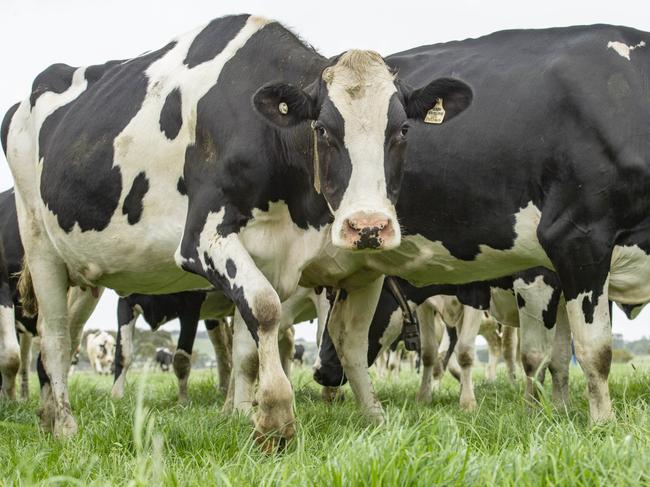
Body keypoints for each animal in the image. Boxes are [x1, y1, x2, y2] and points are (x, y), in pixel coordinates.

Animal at [0, 14, 468, 442]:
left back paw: (46, 415)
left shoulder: (340, 263)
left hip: (84, 275)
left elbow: (336, 342)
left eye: (402, 130)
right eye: (321, 129)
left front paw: (371, 418)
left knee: (67, 335)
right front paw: (275, 417)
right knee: (54, 338)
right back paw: (64, 425)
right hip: (40, 245)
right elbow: (264, 310)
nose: (368, 226)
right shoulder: (202, 239)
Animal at [316, 24, 648, 426]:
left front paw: (560, 411)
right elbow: (580, 351)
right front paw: (582, 421)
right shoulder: (571, 243)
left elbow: (559, 356)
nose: (320, 372)